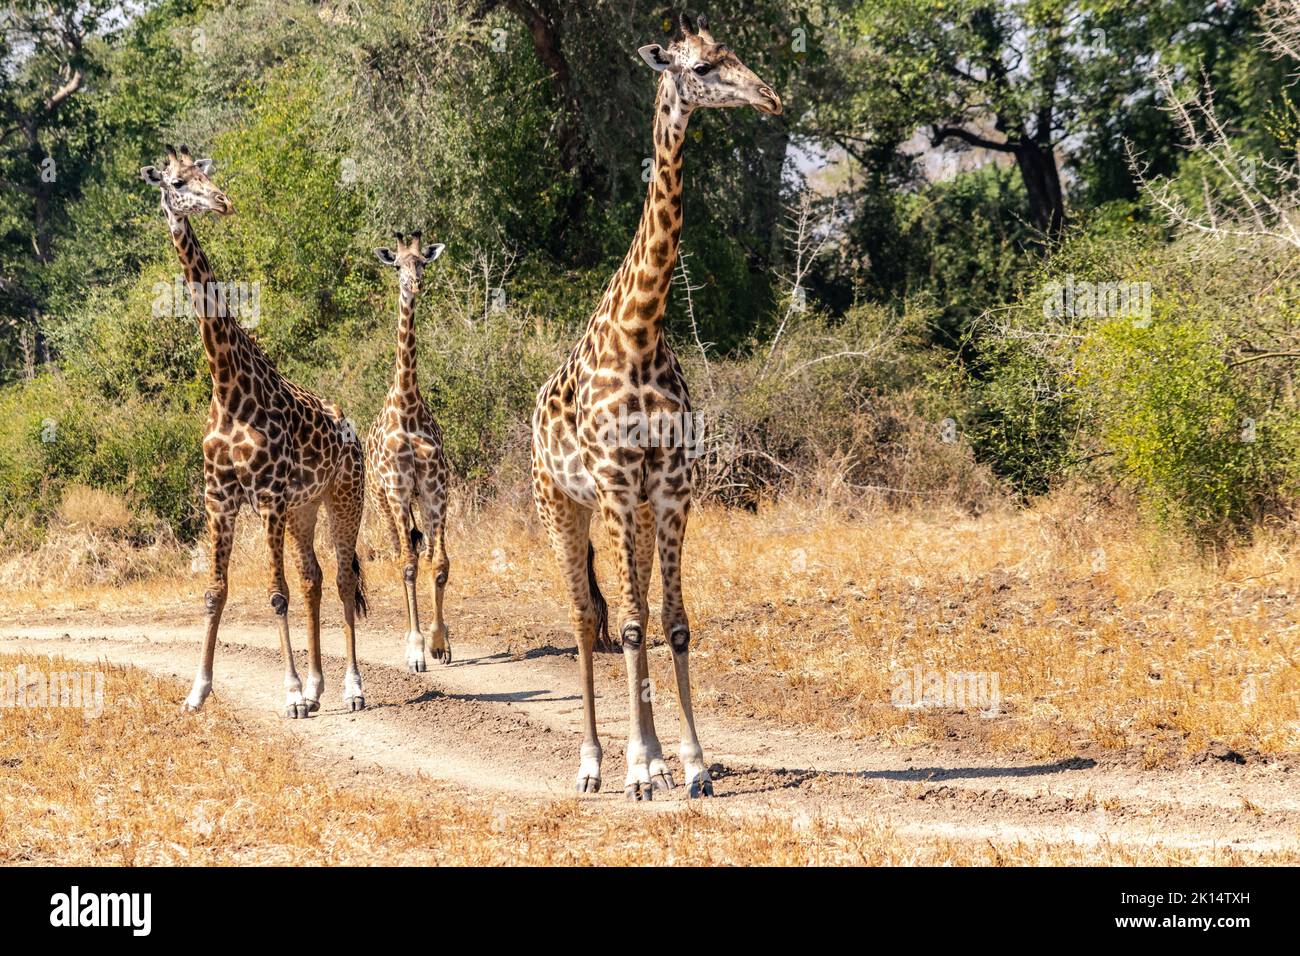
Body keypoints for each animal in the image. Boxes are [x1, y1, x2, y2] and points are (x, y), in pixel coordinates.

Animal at [140, 145, 370, 718]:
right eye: (178, 182)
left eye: (205, 175)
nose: (222, 202)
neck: (226, 385)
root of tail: (353, 431)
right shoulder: (219, 498)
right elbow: (215, 592)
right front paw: (197, 691)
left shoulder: (266, 497)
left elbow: (275, 593)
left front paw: (288, 693)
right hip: (304, 508)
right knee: (313, 578)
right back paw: (317, 687)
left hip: (344, 496)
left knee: (343, 578)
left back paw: (351, 689)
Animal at [530, 14, 782, 799]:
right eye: (700, 67)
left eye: (735, 55)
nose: (771, 98)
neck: (642, 327)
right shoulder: (613, 484)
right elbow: (632, 624)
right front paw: (638, 766)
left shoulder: (669, 489)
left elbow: (672, 620)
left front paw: (692, 763)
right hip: (560, 503)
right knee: (586, 617)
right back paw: (594, 763)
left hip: (632, 514)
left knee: (627, 607)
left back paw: (655, 758)